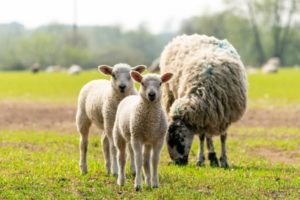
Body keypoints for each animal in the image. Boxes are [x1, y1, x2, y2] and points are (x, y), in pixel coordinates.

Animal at [161, 34, 247, 167]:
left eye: (180, 138)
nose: (178, 163)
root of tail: (181, 37)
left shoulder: (224, 115)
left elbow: (223, 137)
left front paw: (224, 161)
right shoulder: (202, 116)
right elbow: (202, 137)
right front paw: (200, 160)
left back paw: (214, 159)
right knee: (208, 135)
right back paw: (212, 157)